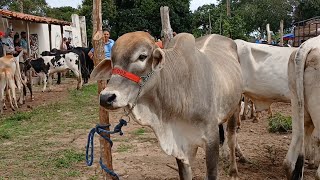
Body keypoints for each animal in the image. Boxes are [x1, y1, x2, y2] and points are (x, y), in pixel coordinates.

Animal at [90, 31, 242, 179]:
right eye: (112, 61)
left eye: (142, 56)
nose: (106, 97)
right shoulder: (180, 147)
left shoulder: (211, 139)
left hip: (236, 106)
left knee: (231, 137)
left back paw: (234, 170)